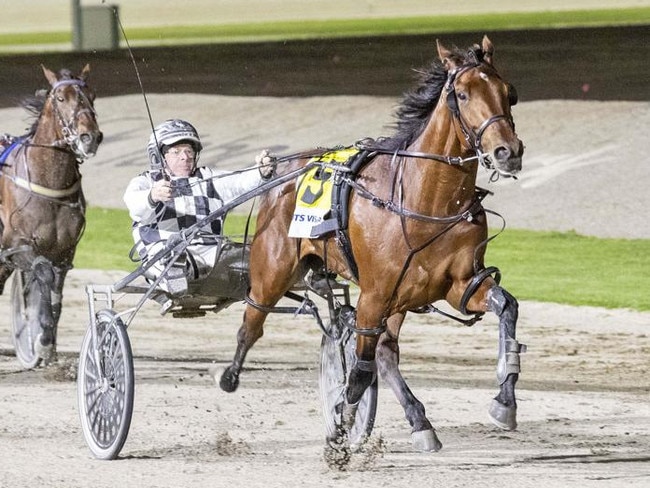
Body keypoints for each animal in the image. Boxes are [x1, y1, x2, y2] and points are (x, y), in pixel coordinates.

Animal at [0, 66, 102, 370]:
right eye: (60, 98)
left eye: (92, 94)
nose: (89, 137)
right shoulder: (18, 246)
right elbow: (42, 276)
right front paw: (41, 341)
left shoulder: (65, 252)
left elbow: (56, 294)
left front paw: (49, 348)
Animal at [220, 36, 524, 452]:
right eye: (462, 94)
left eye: (508, 93)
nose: (508, 152)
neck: (425, 201)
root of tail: (284, 169)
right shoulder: (374, 295)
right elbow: (360, 372)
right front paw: (342, 422)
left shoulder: (458, 284)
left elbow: (506, 307)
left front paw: (504, 401)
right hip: (274, 271)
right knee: (252, 323)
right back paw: (230, 375)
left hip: (400, 299)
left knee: (385, 352)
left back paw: (419, 421)